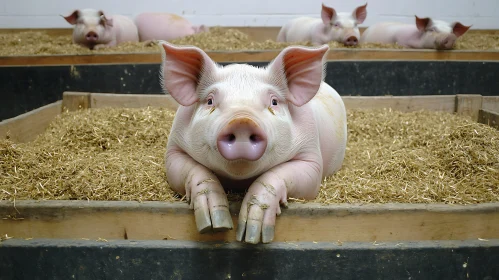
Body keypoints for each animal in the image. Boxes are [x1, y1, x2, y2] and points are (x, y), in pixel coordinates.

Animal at [159, 40, 348, 244]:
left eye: (274, 102)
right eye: (210, 101)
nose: (242, 121)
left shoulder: (311, 159)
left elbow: (277, 178)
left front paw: (251, 234)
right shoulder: (174, 150)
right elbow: (197, 174)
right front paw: (215, 225)